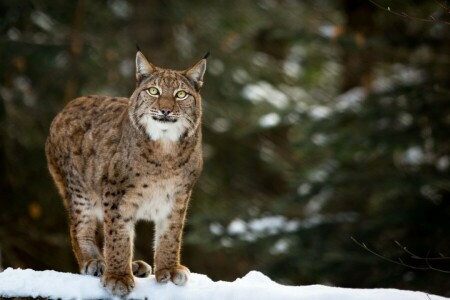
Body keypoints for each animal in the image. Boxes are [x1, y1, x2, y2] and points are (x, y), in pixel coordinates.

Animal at [45, 49, 207, 296]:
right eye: (153, 91)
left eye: (181, 95)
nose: (166, 110)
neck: (166, 148)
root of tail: (69, 105)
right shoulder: (115, 192)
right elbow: (118, 235)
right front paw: (118, 277)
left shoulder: (179, 195)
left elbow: (171, 233)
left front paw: (168, 269)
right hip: (80, 191)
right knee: (79, 227)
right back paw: (95, 261)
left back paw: (131, 265)